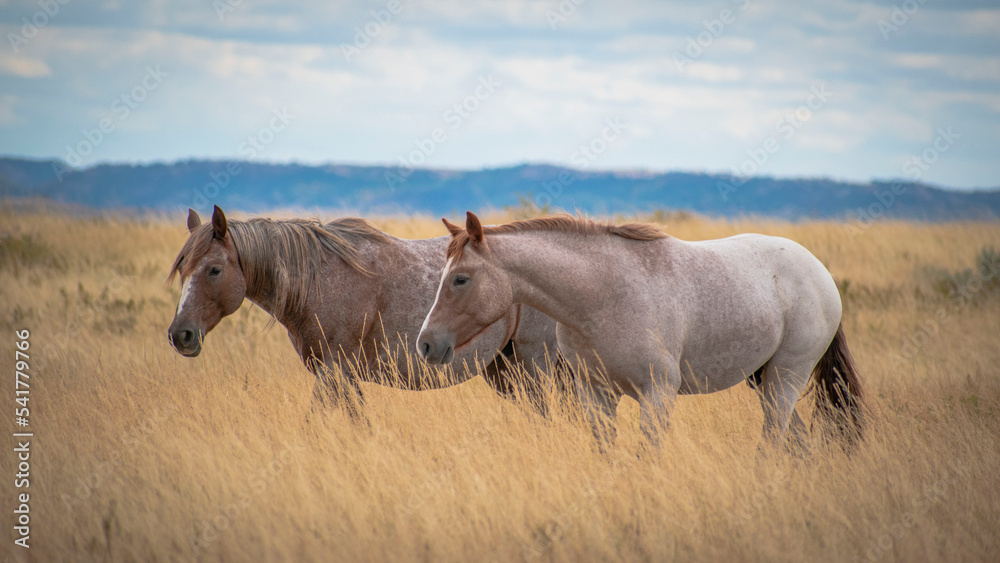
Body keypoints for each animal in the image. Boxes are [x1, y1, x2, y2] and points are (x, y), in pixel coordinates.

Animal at [164, 205, 556, 416]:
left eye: (214, 269)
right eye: (182, 268)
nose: (181, 335)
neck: (320, 279)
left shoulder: (334, 372)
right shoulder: (344, 377)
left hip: (534, 364)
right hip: (503, 368)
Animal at [418, 214, 864, 452]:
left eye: (460, 279)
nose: (426, 343)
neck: (602, 297)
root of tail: (819, 271)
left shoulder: (658, 394)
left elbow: (647, 454)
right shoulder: (595, 394)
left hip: (786, 377)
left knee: (773, 439)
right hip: (762, 378)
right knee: (795, 441)